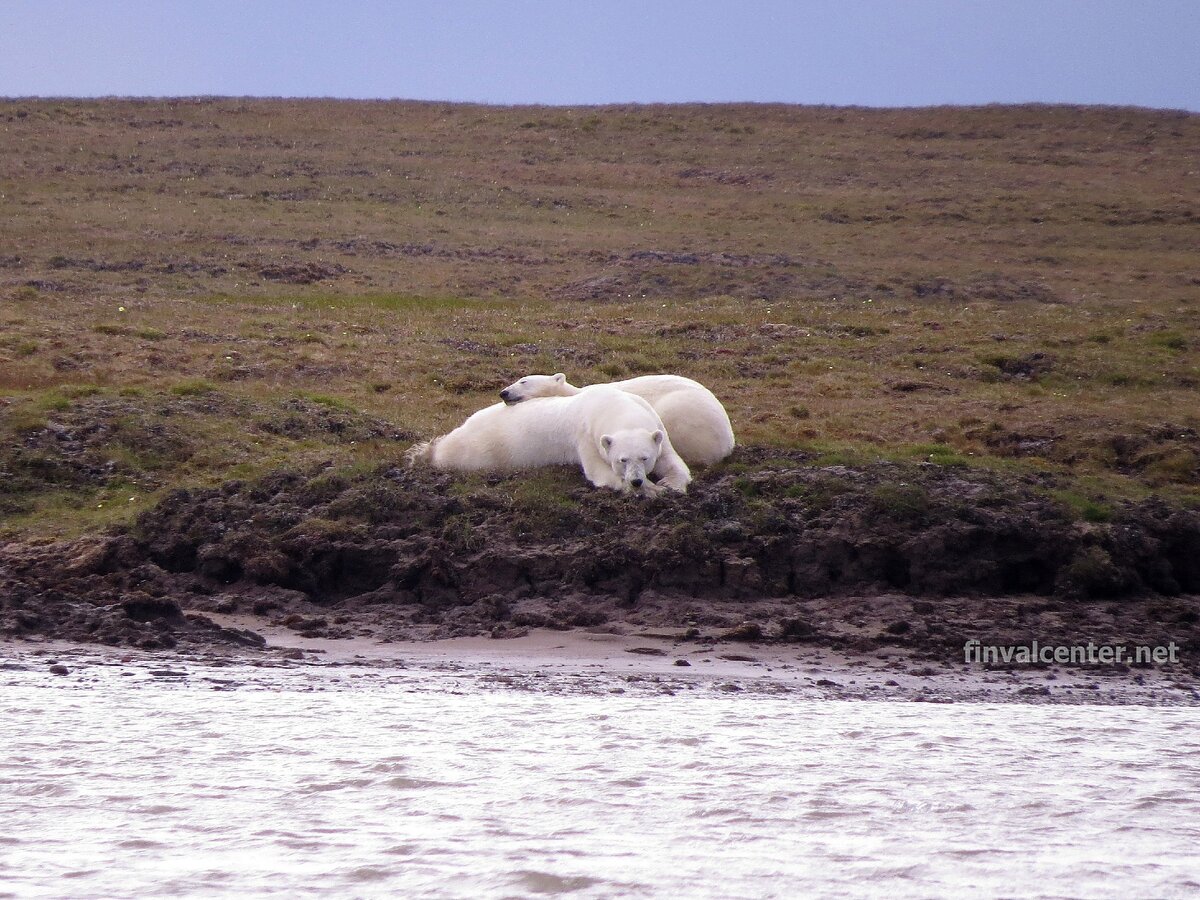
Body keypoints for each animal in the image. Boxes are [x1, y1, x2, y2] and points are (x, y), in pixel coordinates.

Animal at [408, 381, 691, 494]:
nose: (636, 480)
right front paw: (652, 490)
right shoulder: (584, 436)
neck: (613, 405)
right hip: (482, 448)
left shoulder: (656, 424)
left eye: (644, 458)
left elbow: (673, 461)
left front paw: (670, 484)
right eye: (622, 460)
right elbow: (599, 474)